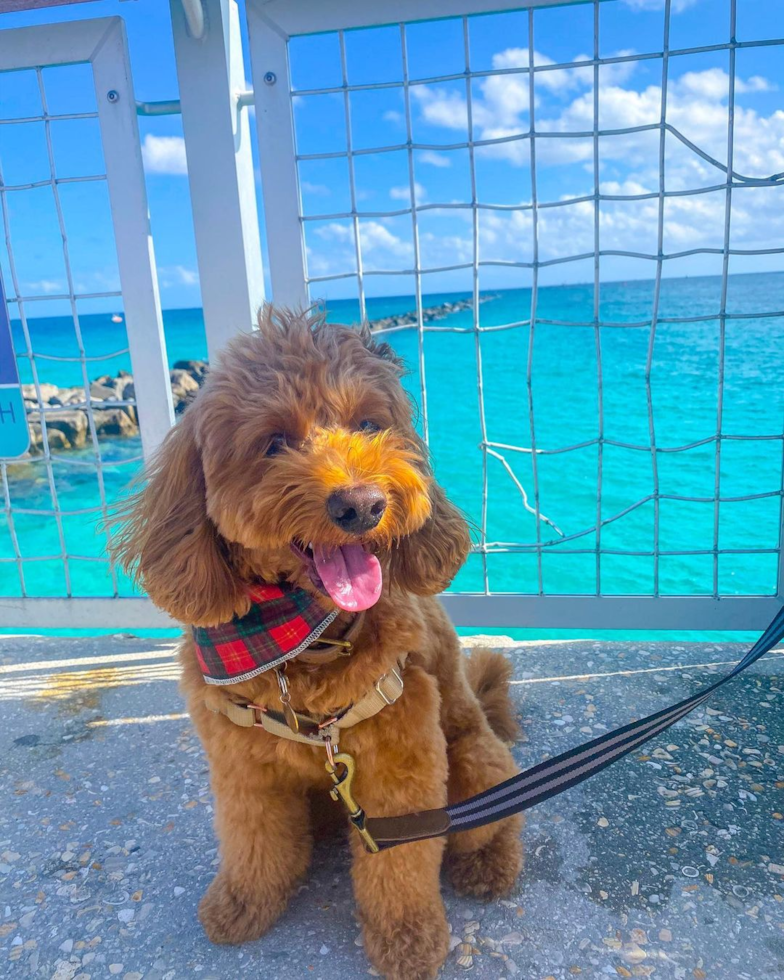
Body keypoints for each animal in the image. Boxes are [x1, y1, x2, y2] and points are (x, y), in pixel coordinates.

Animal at [113, 308, 524, 980]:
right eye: (274, 441)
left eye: (369, 424)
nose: (362, 505)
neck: (303, 645)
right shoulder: (241, 765)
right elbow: (253, 838)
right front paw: (243, 903)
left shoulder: (401, 763)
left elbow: (401, 866)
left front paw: (408, 940)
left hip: (475, 766)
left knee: (498, 818)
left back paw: (489, 865)